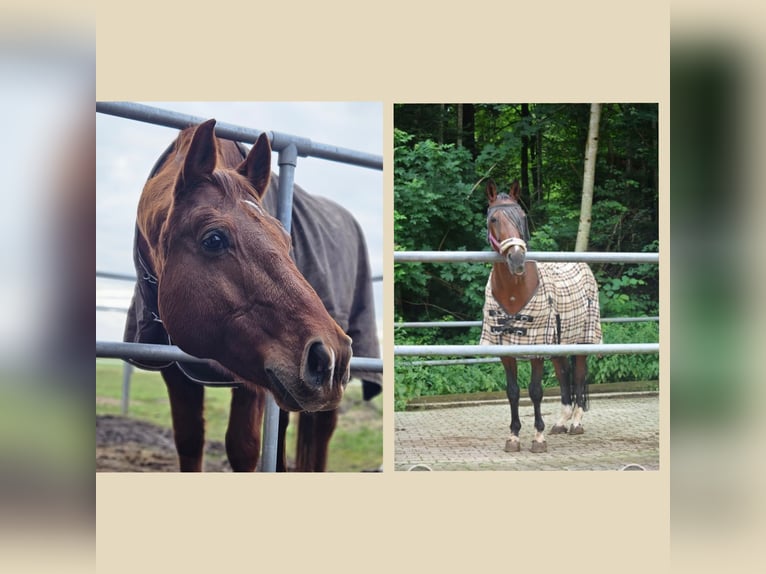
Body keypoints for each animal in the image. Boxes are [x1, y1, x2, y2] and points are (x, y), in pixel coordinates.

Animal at [123, 118, 381, 471]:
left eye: (287, 241)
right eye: (214, 239)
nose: (330, 355)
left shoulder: (253, 377)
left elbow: (243, 450)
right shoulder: (176, 375)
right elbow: (189, 441)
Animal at [480, 180, 602, 453]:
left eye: (522, 216)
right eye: (493, 219)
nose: (516, 258)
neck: (513, 293)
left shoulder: (536, 348)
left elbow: (535, 390)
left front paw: (538, 437)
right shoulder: (506, 351)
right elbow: (513, 391)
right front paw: (514, 436)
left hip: (583, 340)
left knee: (579, 376)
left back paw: (575, 423)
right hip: (558, 344)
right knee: (564, 375)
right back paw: (561, 422)